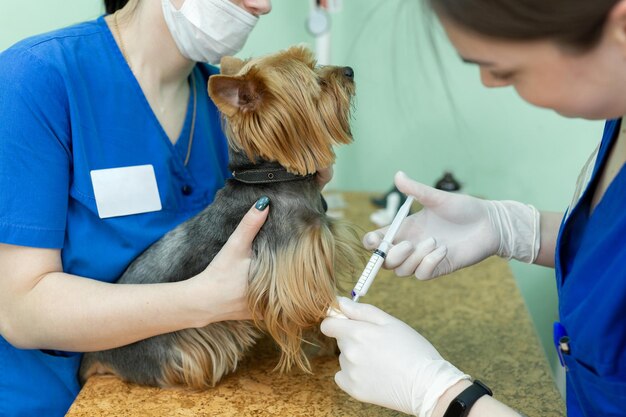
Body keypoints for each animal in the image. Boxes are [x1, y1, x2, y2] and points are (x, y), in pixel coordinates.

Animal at [79, 46, 360, 390]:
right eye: (317, 83)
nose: (349, 71)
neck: (269, 178)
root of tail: (97, 355)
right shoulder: (292, 272)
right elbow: (316, 307)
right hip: (176, 351)